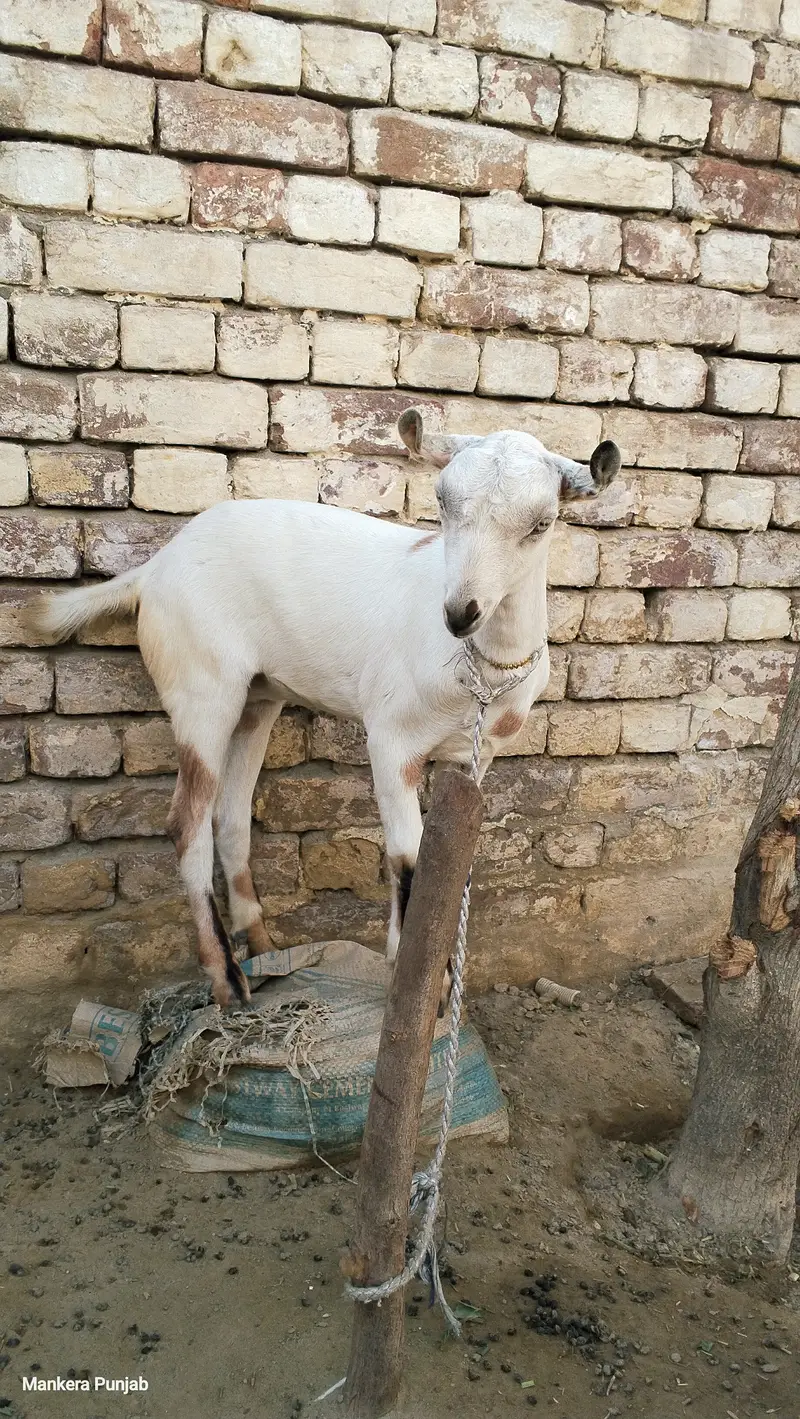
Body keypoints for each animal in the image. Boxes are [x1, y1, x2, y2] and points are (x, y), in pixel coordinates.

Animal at [30, 410, 620, 1008]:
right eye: (442, 501)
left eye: (542, 523)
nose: (461, 612)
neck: (480, 667)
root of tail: (153, 569)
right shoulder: (392, 740)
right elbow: (407, 862)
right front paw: (406, 984)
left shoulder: (477, 756)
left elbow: (449, 864)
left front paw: (439, 987)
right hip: (202, 682)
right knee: (186, 819)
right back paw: (226, 979)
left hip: (257, 697)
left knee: (230, 813)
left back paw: (264, 946)